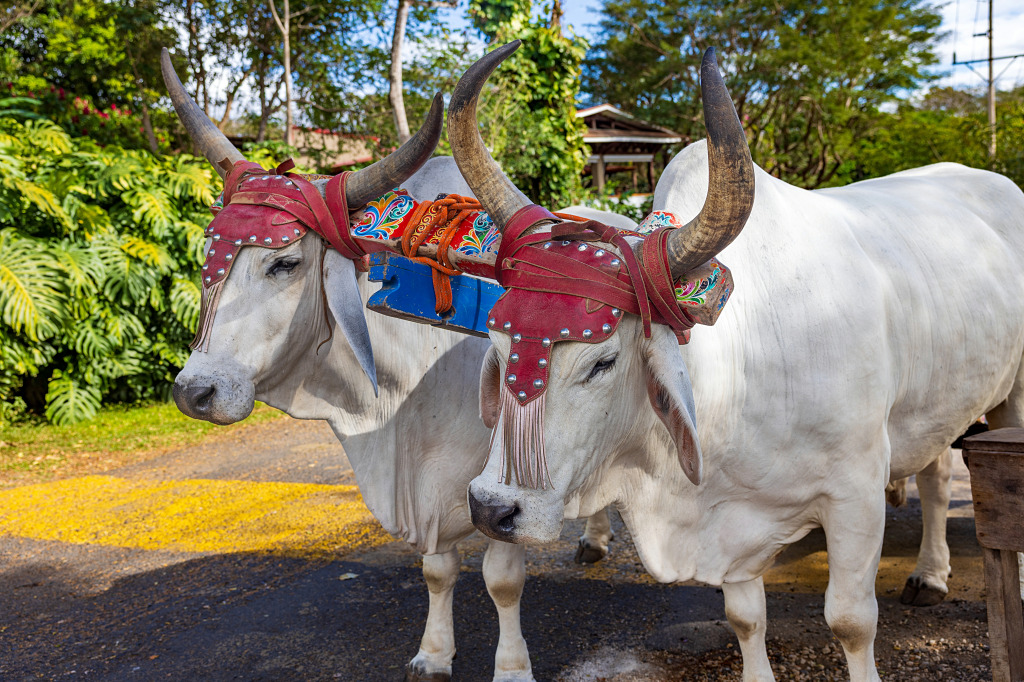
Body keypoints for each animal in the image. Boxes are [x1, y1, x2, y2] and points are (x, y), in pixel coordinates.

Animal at [160, 50, 622, 681]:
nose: (195, 392)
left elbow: (502, 580)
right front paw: (433, 654)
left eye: (284, 263)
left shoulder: (506, 483)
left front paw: (511, 666)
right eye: (210, 253)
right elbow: (437, 571)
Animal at [448, 42, 1024, 681]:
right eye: (499, 347)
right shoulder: (733, 520)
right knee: (936, 472)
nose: (491, 509)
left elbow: (851, 622)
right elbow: (747, 618)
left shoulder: (856, 491)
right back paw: (929, 573)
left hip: (1012, 396)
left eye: (603, 362)